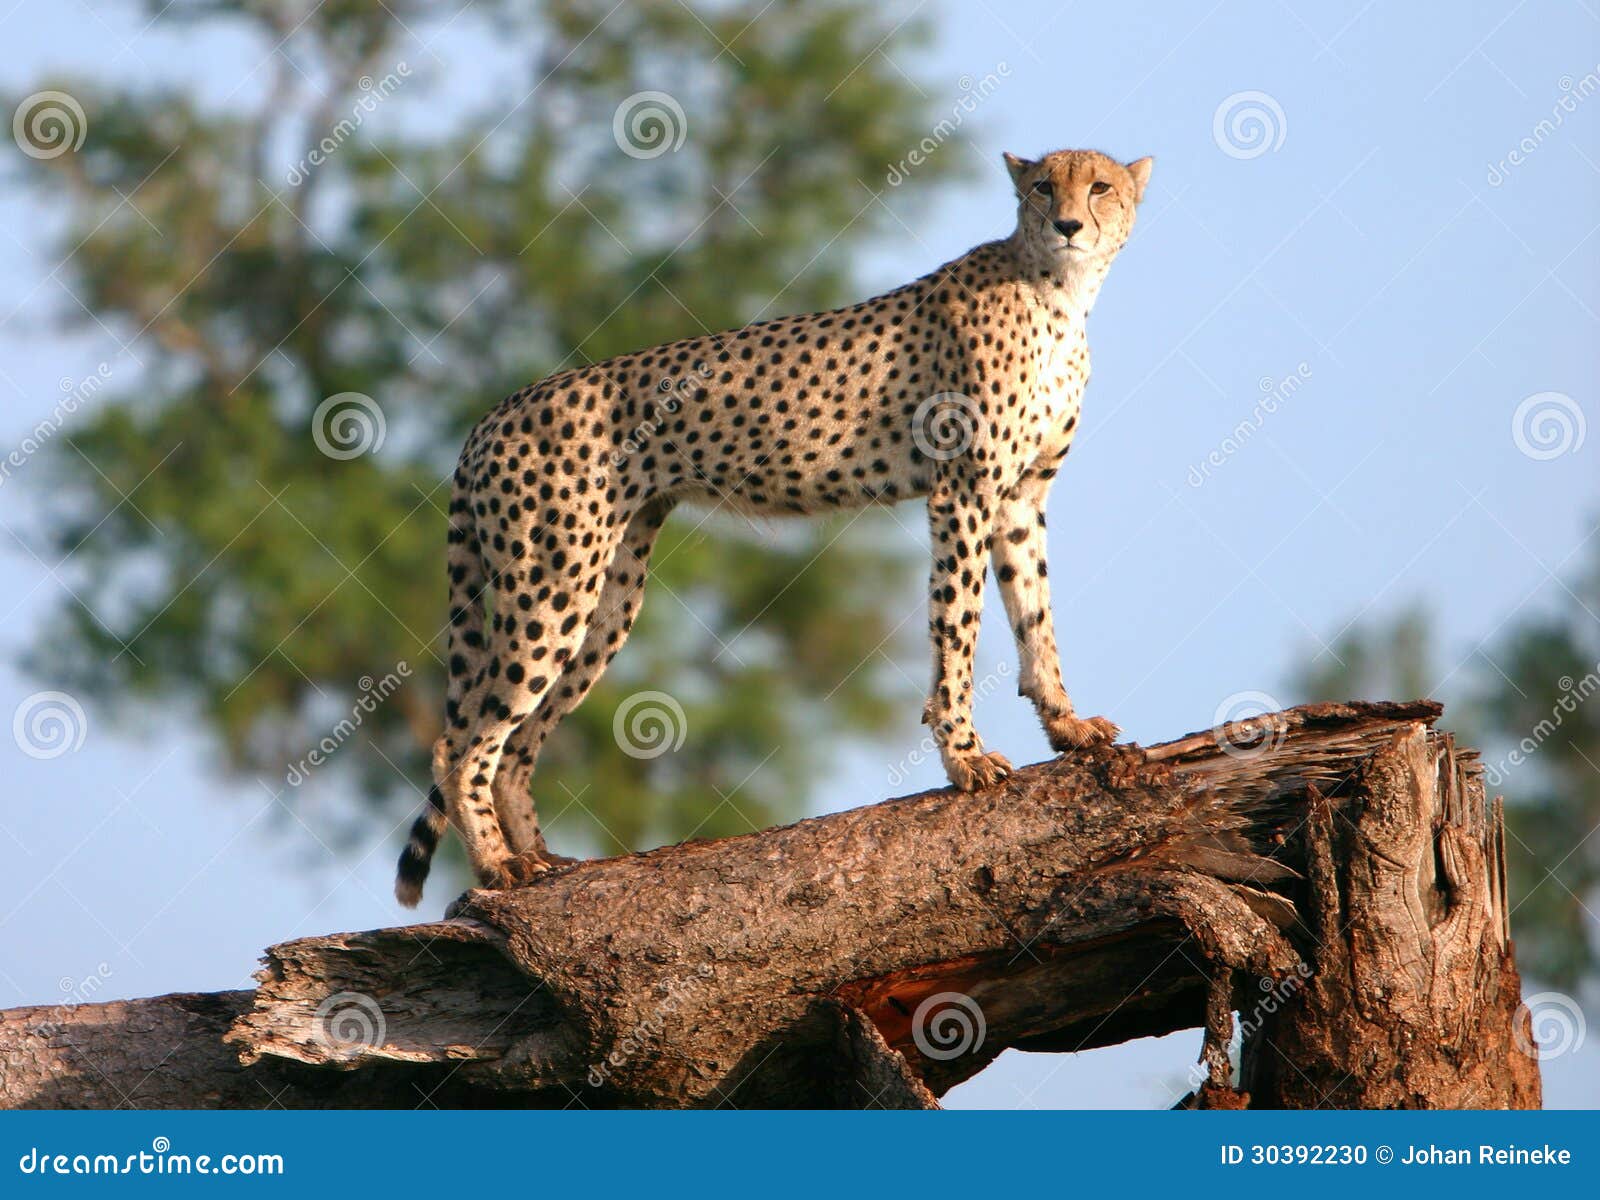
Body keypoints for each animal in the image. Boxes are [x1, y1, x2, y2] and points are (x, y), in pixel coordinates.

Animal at [396, 147, 1153, 905]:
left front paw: (1068, 725)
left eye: (1101, 187)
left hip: (605, 593)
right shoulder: (962, 492)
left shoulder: (1020, 497)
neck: (1059, 293)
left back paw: (540, 862)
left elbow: (1035, 615)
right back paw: (497, 865)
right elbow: (957, 630)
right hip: (552, 583)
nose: (1067, 225)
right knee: (459, 741)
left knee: (516, 742)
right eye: (1042, 187)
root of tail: (496, 412)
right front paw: (963, 757)